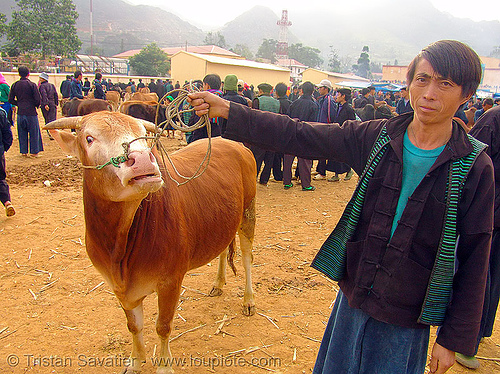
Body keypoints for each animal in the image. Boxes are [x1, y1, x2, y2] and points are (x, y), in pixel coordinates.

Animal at [44, 112, 256, 372]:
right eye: (89, 138)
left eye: (144, 135)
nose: (144, 159)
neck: (119, 249)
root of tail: (234, 144)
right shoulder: (119, 288)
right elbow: (134, 326)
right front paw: (135, 360)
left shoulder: (170, 281)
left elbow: (163, 326)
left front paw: (164, 366)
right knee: (223, 250)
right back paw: (218, 283)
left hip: (248, 213)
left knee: (246, 258)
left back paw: (248, 300)